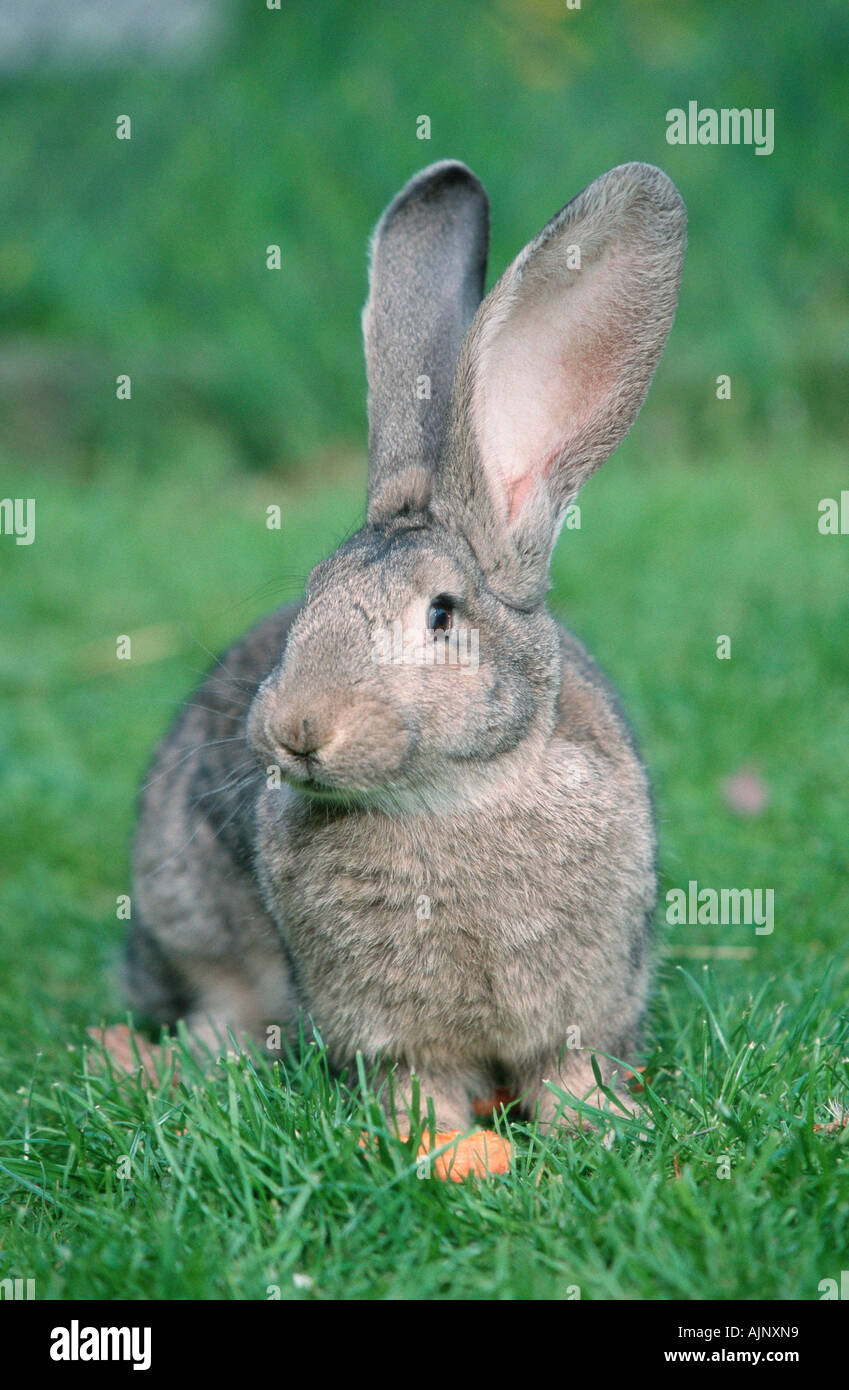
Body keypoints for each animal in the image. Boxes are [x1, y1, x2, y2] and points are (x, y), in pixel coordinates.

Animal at [124, 154, 683, 1150]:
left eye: (441, 615)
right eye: (309, 596)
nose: (299, 728)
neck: (450, 798)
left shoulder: (586, 1006)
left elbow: (569, 1072)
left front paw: (595, 1128)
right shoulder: (385, 1032)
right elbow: (414, 1083)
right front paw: (439, 1147)